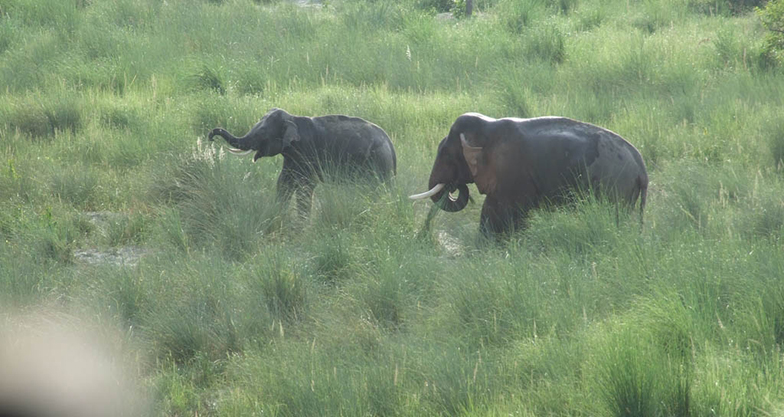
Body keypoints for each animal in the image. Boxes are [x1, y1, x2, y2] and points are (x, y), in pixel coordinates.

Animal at [208, 107, 396, 216]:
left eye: (261, 133)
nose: (210, 137)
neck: (293, 118)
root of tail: (390, 144)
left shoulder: (306, 152)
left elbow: (306, 186)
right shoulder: (291, 156)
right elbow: (283, 183)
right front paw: (280, 217)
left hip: (377, 162)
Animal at [410, 113, 648, 237]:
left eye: (446, 154)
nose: (451, 186)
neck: (489, 125)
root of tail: (641, 167)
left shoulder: (511, 173)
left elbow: (498, 210)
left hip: (614, 187)